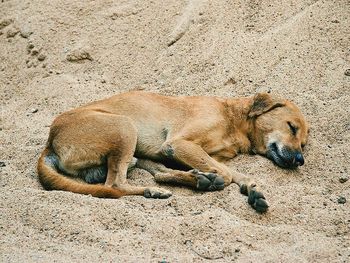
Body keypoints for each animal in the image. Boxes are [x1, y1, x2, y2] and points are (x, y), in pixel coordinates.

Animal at [37, 91, 308, 212]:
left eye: (304, 143)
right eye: (291, 127)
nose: (300, 160)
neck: (233, 120)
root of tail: (50, 141)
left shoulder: (200, 154)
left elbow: (237, 174)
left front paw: (252, 189)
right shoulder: (178, 144)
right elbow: (228, 174)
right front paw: (221, 179)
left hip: (138, 152)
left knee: (153, 174)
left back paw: (190, 181)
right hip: (125, 126)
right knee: (115, 185)